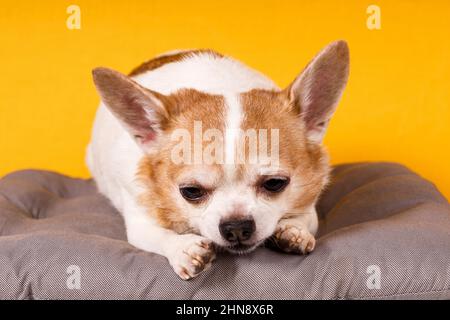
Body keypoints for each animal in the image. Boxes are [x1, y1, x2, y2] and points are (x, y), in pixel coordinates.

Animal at [86, 40, 350, 280]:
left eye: (275, 183)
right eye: (191, 191)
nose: (236, 227)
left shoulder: (308, 201)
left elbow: (305, 218)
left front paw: (293, 230)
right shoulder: (139, 218)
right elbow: (159, 235)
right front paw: (183, 248)